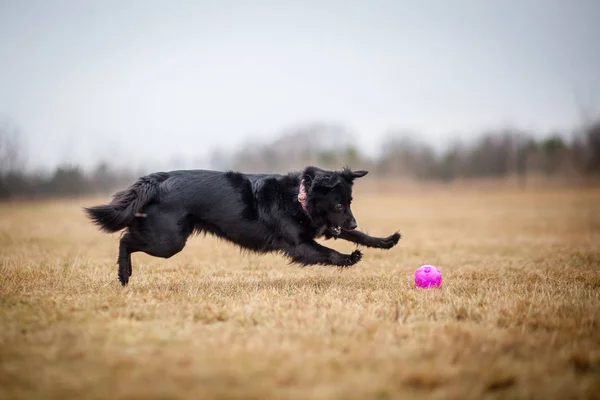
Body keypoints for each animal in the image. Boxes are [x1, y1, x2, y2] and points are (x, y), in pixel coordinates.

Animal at [84, 166, 400, 284]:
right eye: (338, 205)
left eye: (350, 202)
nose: (353, 219)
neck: (298, 198)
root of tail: (158, 180)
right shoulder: (300, 244)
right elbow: (329, 253)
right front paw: (349, 258)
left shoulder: (325, 228)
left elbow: (360, 236)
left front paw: (387, 241)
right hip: (169, 242)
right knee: (125, 239)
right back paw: (124, 274)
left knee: (128, 236)